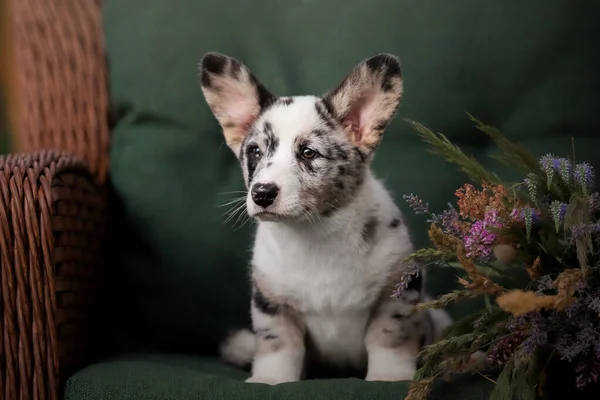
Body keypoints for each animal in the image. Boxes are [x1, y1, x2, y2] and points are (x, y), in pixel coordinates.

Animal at [198, 51, 450, 382]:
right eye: (254, 151)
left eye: (308, 153)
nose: (261, 193)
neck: (315, 232)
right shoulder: (271, 302)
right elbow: (279, 345)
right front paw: (270, 379)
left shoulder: (397, 290)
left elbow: (388, 337)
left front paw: (390, 376)